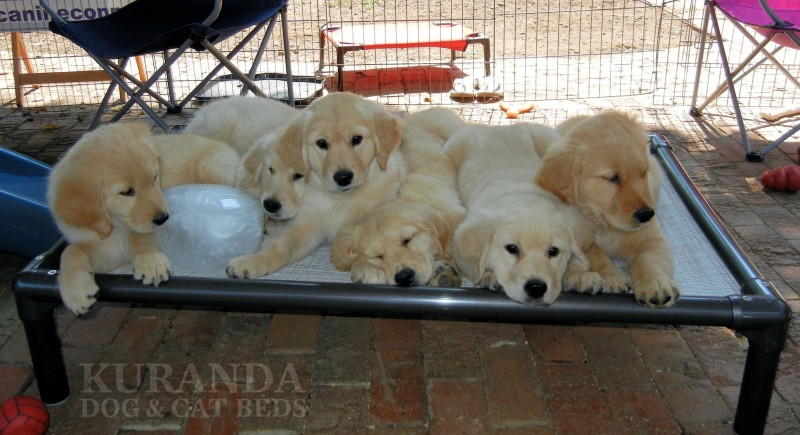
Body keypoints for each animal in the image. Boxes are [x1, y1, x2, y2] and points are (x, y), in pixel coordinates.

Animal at [47, 122, 238, 314]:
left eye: (154, 177)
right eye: (126, 192)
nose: (163, 218)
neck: (117, 224)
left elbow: (141, 236)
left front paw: (150, 261)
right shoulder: (106, 250)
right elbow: (71, 251)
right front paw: (75, 290)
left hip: (209, 168)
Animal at [223, 93, 406, 282]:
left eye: (357, 139)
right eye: (322, 143)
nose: (343, 177)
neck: (340, 199)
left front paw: (369, 267)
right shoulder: (307, 224)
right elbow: (281, 246)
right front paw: (252, 261)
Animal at [444, 122, 608, 306]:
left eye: (553, 251)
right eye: (512, 248)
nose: (536, 288)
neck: (520, 190)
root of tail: (497, 127)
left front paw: (579, 275)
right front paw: (490, 275)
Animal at [536, 112, 680, 310]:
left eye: (644, 173)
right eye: (613, 178)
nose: (647, 214)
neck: (604, 225)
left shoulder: (651, 238)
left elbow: (650, 260)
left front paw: (656, 284)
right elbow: (595, 252)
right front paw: (612, 277)